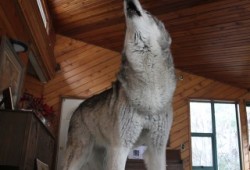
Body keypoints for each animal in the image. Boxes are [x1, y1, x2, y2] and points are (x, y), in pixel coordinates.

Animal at [62, 0, 176, 169]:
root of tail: (78, 108)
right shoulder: (120, 148)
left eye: (148, 13)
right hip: (80, 155)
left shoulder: (157, 150)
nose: (129, 2)